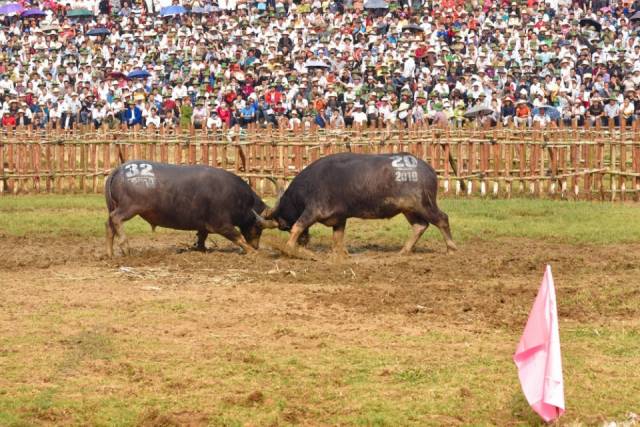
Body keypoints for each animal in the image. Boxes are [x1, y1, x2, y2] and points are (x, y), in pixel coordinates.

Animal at [104, 162, 268, 258]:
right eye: (258, 227)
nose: (256, 245)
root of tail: (119, 169)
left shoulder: (204, 224)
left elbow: (202, 237)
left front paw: (200, 249)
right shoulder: (221, 224)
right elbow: (238, 236)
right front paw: (252, 251)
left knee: (109, 225)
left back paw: (110, 254)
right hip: (130, 207)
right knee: (116, 218)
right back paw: (125, 247)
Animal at [252, 152, 458, 256]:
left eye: (283, 225)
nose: (305, 242)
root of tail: (429, 171)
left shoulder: (312, 211)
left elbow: (298, 226)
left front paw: (288, 248)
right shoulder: (340, 218)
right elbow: (337, 238)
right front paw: (340, 254)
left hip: (424, 204)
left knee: (442, 219)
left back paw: (451, 248)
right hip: (409, 209)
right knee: (420, 225)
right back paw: (404, 251)